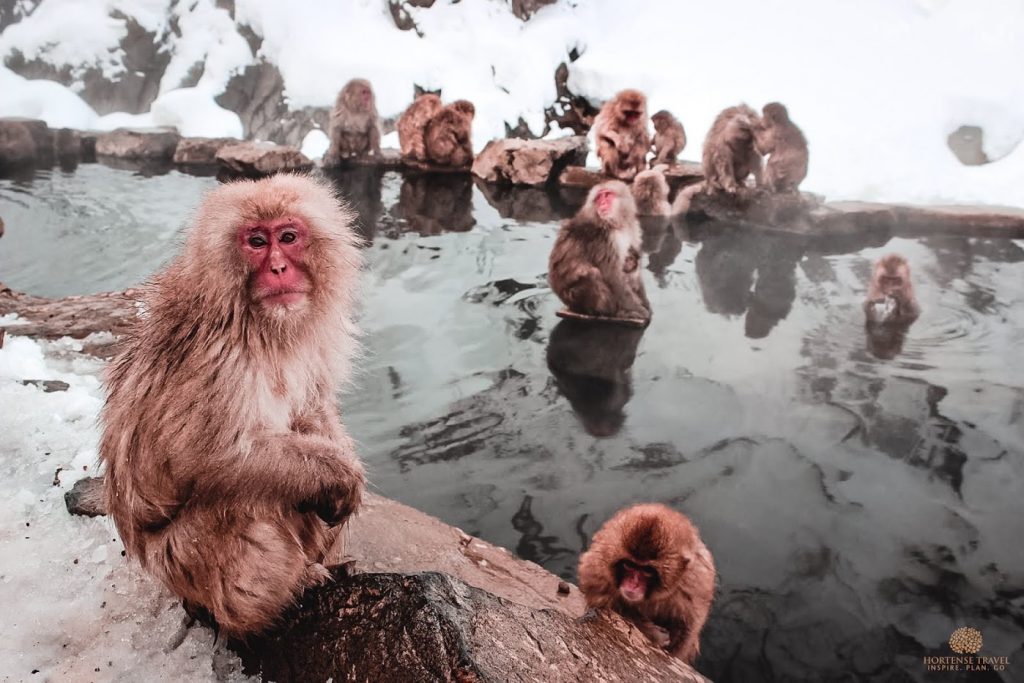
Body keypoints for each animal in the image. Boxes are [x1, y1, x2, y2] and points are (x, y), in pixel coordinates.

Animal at [101, 174, 366, 638]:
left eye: (289, 237)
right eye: (257, 242)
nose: (278, 268)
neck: (260, 324)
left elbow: (311, 408)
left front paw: (340, 463)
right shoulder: (219, 359)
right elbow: (211, 457)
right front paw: (339, 474)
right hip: (181, 563)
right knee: (243, 500)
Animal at [548, 181, 651, 325]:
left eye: (607, 195)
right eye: (598, 198)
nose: (602, 203)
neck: (616, 224)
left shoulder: (633, 228)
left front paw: (645, 303)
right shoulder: (603, 239)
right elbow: (613, 277)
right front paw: (638, 309)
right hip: (574, 298)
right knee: (592, 274)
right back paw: (611, 313)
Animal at [581, 505, 716, 663]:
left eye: (647, 571)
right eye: (629, 565)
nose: (632, 585)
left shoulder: (695, 583)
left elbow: (687, 628)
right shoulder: (599, 566)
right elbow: (600, 600)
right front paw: (651, 632)